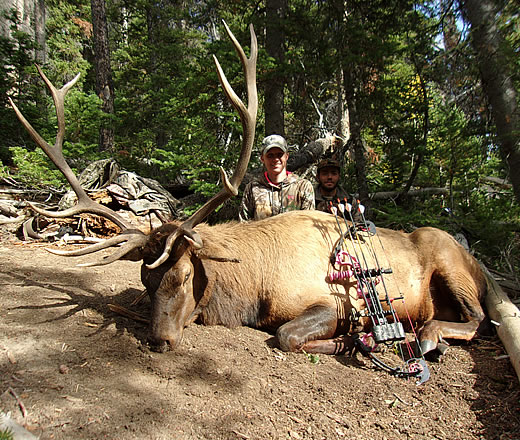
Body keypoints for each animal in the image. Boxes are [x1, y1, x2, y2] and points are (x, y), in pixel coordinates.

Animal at [9, 23, 488, 360]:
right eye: (145, 279)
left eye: (185, 276)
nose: (160, 341)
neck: (250, 290)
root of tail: (479, 265)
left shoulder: (335, 300)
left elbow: (286, 334)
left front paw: (352, 339)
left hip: (451, 265)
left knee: (478, 319)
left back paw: (428, 337)